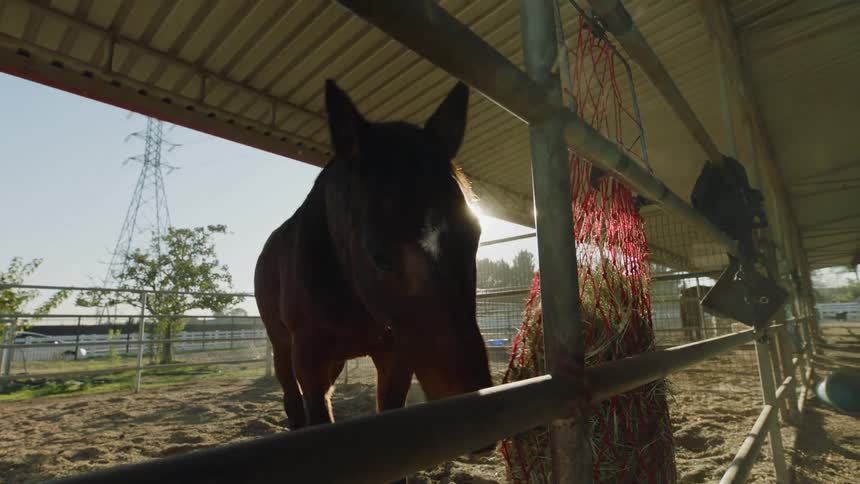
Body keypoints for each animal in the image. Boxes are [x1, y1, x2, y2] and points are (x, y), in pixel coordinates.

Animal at [254, 79, 494, 434]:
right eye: (379, 255)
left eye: (474, 236)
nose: (469, 400)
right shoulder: (308, 356)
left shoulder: (394, 356)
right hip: (283, 348)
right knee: (293, 402)